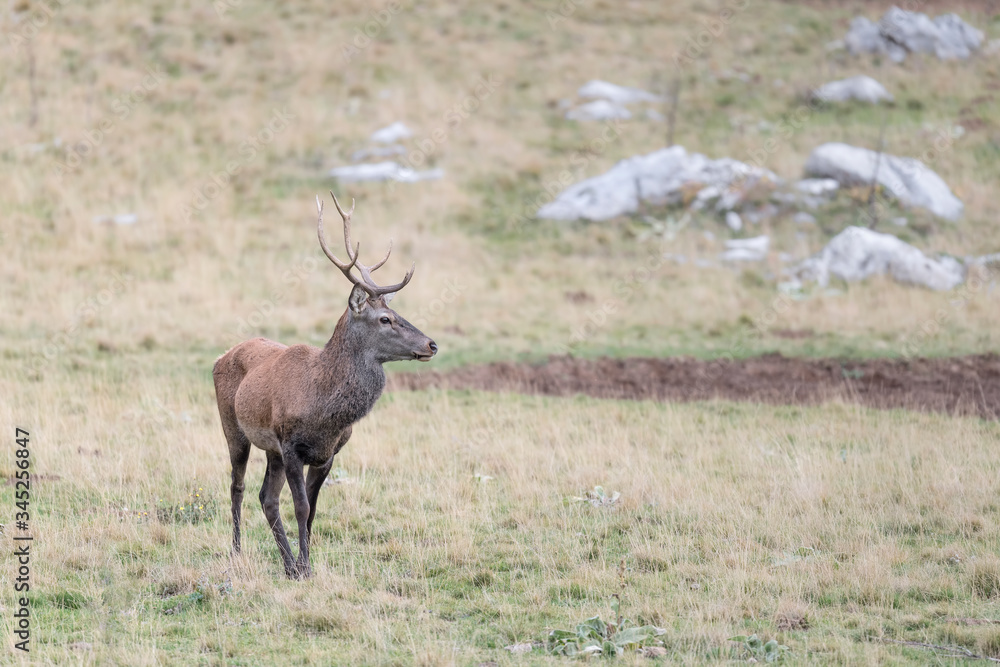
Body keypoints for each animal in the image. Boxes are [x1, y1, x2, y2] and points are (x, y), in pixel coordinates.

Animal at [212, 192, 437, 578]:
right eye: (385, 319)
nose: (431, 344)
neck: (325, 411)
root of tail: (221, 356)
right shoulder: (290, 445)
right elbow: (301, 507)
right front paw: (306, 569)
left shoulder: (328, 453)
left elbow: (313, 510)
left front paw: (303, 564)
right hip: (234, 428)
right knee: (237, 487)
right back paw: (238, 551)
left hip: (270, 450)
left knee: (266, 498)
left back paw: (286, 563)